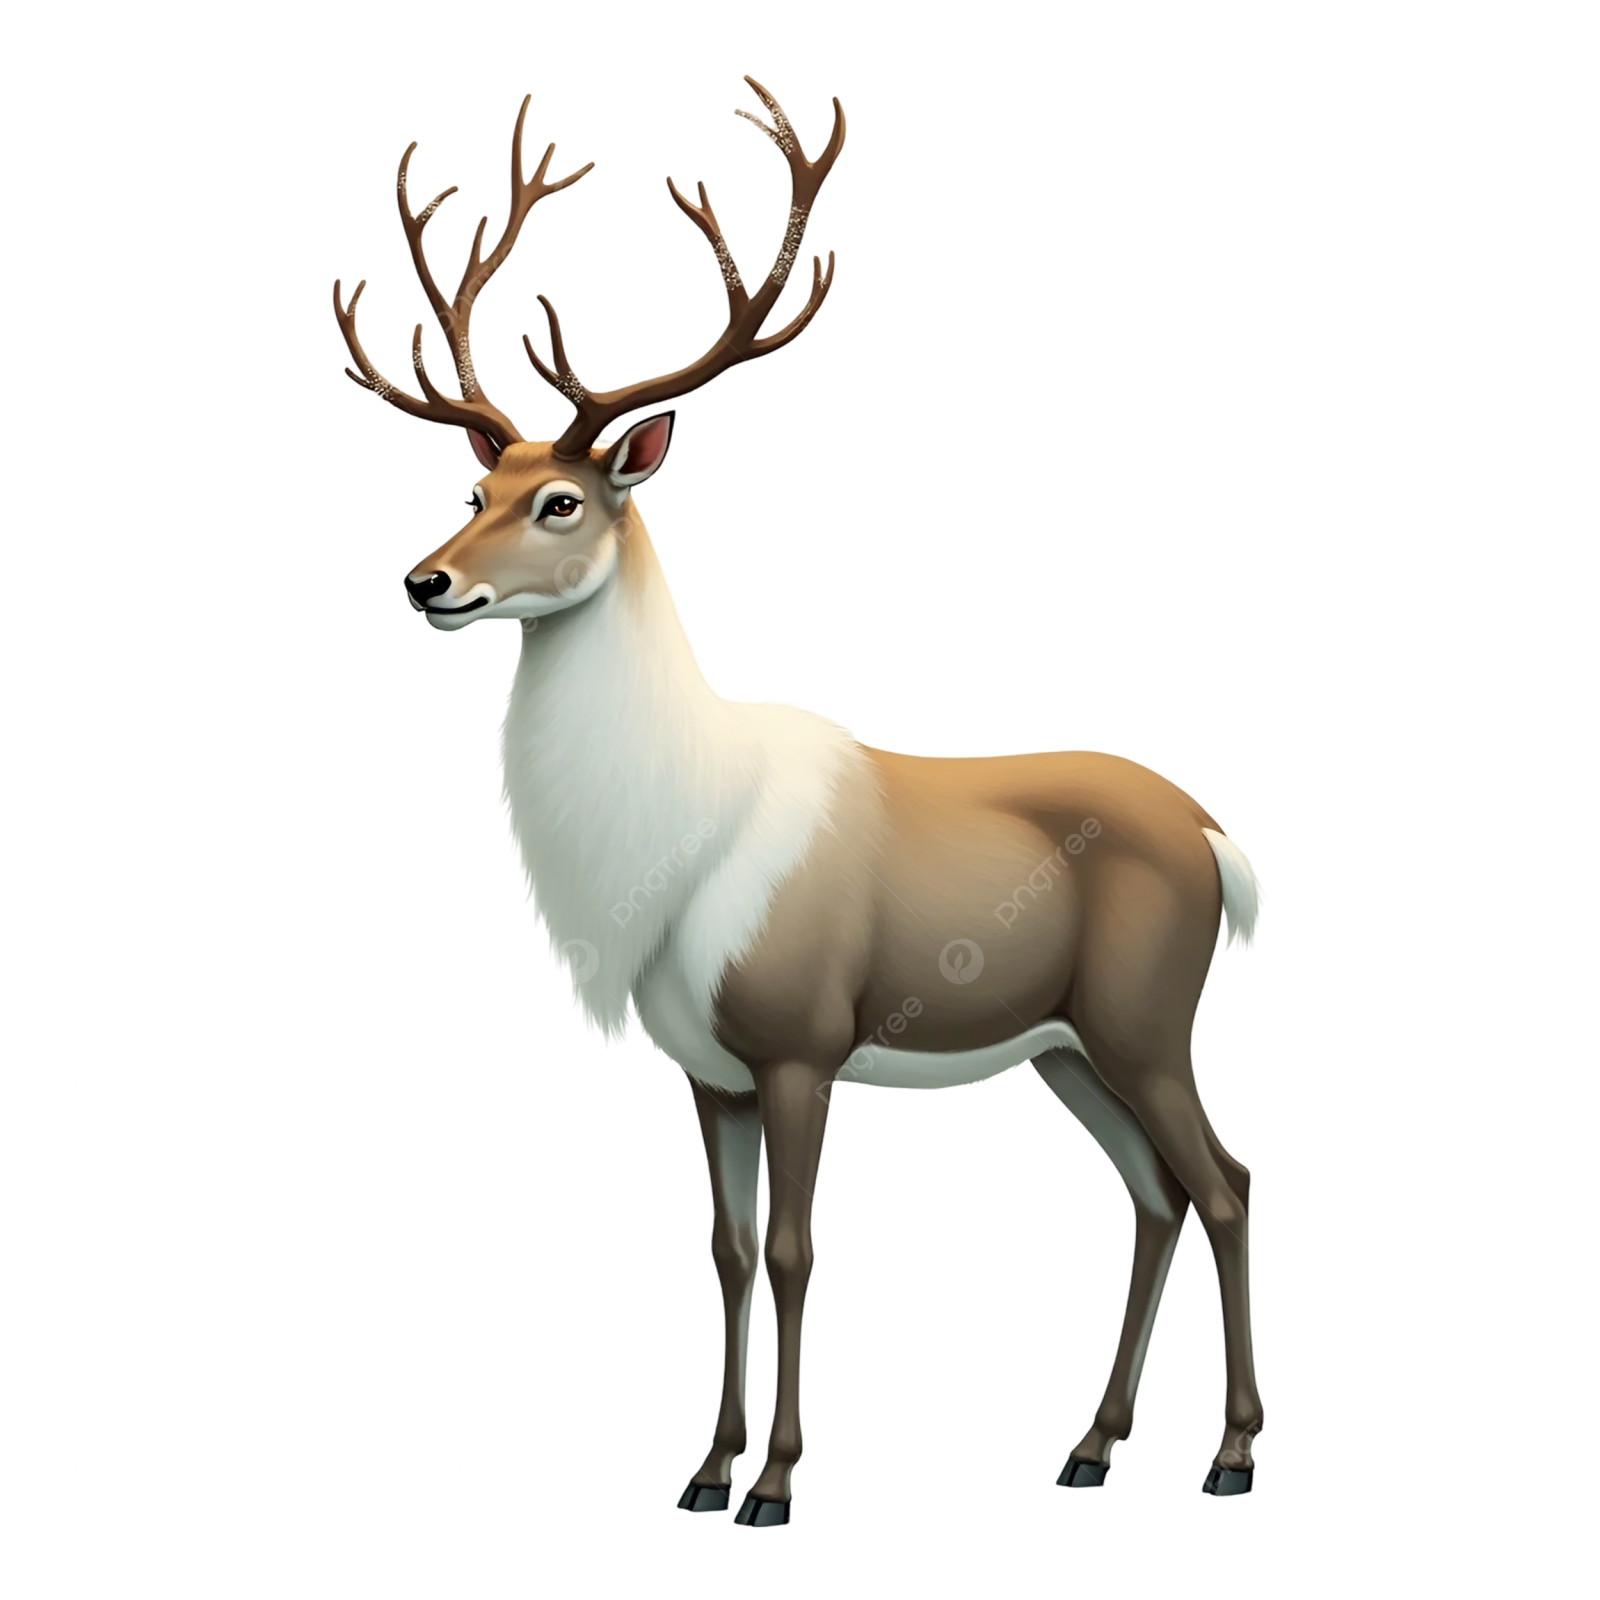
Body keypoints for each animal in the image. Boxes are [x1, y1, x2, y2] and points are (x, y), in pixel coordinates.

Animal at [333, 76, 1269, 1530]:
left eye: (560, 501)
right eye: (474, 486)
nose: (428, 582)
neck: (666, 844)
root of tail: (1217, 840)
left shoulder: (800, 1040)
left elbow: (788, 1247)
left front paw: (774, 1481)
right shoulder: (703, 1070)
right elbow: (721, 1251)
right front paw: (703, 1476)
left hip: (1142, 1015)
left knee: (1223, 1188)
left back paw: (1226, 1456)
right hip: (1064, 1044)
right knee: (1155, 1198)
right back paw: (1091, 1448)